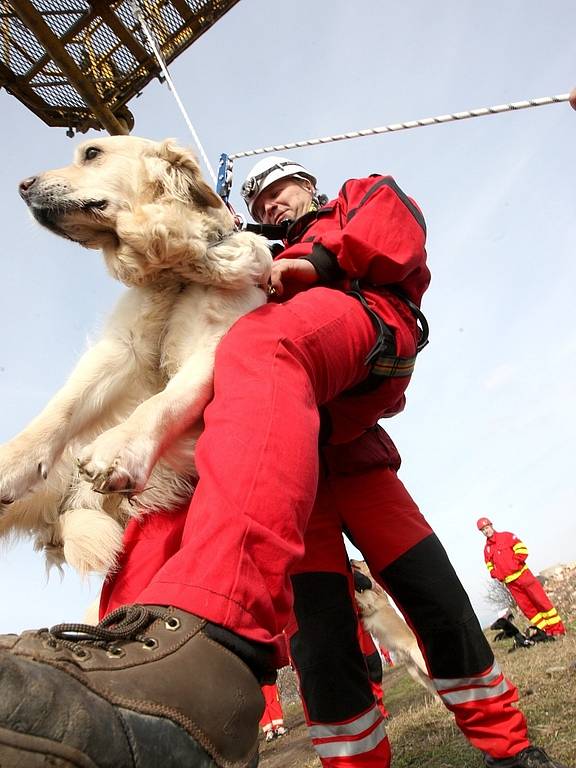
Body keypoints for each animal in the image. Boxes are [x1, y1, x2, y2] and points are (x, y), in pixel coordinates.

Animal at [0, 134, 272, 576]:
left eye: (92, 154)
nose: (22, 186)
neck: (172, 269)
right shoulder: (119, 349)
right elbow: (64, 406)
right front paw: (11, 461)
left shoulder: (211, 344)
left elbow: (163, 403)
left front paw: (120, 449)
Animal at [352, 560, 436, 696]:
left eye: (363, 561)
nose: (350, 560)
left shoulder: (369, 601)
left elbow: (359, 596)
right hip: (416, 674)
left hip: (422, 665)